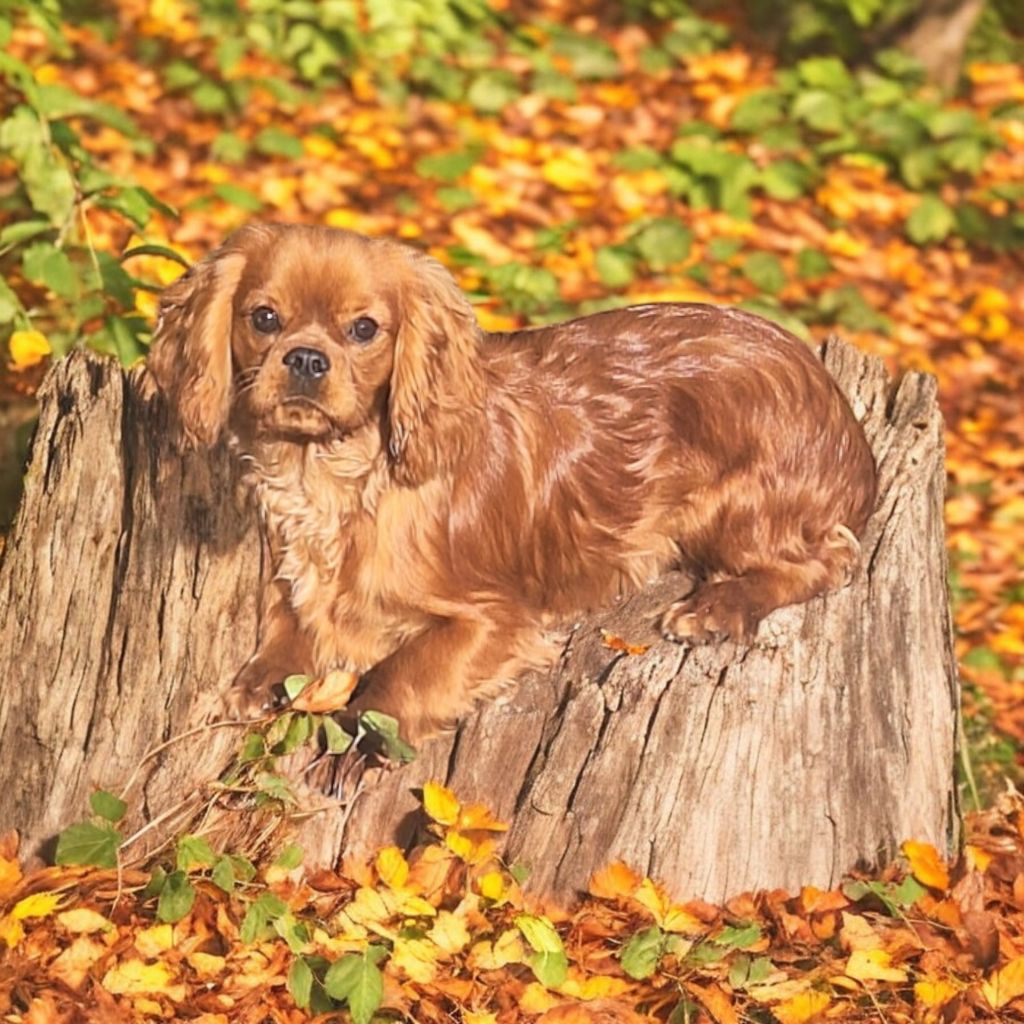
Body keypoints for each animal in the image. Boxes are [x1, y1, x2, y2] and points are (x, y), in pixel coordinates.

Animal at [146, 224, 880, 741]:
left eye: (364, 329)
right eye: (264, 318)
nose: (304, 359)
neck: (334, 477)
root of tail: (840, 413)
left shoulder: (494, 617)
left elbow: (405, 674)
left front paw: (362, 733)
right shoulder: (293, 568)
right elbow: (288, 617)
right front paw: (261, 677)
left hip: (738, 512)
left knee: (829, 559)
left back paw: (715, 608)